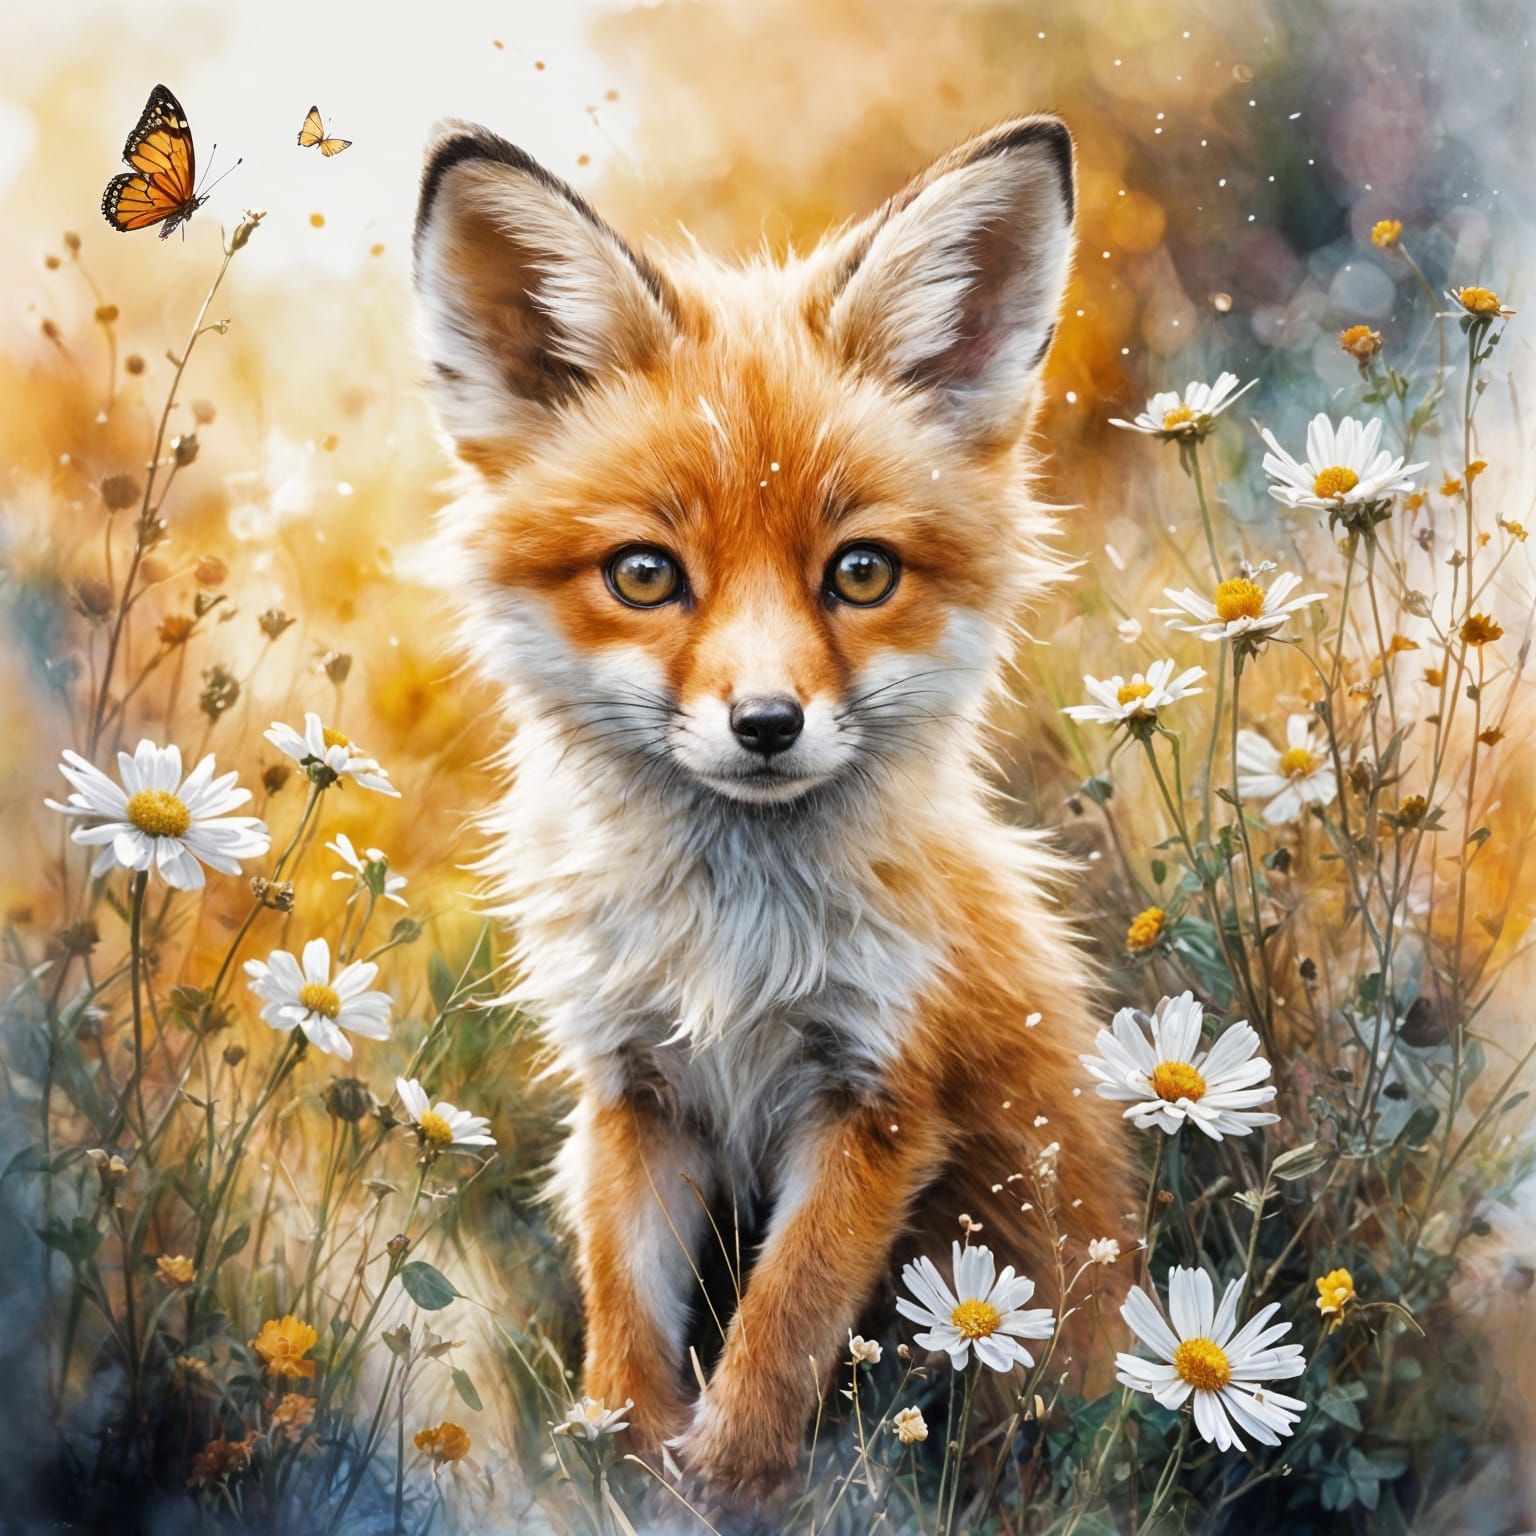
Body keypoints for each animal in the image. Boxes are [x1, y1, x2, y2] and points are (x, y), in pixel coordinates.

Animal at [411, 114, 1135, 1498]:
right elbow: (624, 1334)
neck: (732, 944)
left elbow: (781, 1331)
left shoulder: (877, 1096)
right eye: (646, 575)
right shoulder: (633, 1090)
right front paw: (630, 1476)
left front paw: (732, 1482)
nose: (765, 725)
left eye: (860, 573)